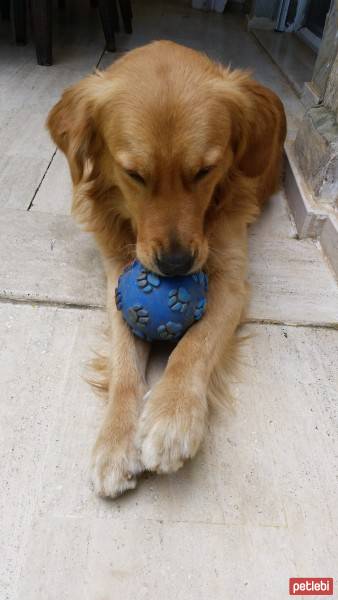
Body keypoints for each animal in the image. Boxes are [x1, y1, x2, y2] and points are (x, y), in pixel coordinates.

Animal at [46, 38, 286, 496]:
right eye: (134, 174)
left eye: (205, 171)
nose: (175, 265)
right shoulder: (116, 277)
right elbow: (124, 361)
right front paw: (115, 440)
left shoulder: (231, 280)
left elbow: (196, 342)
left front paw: (172, 416)